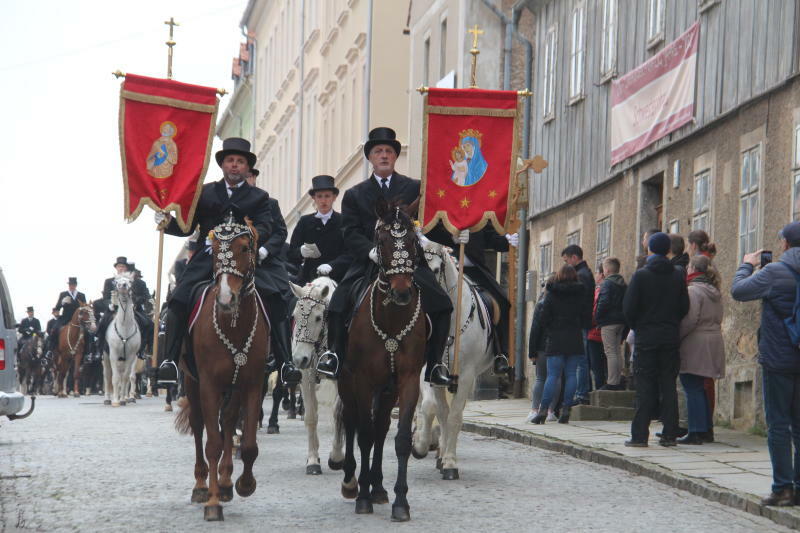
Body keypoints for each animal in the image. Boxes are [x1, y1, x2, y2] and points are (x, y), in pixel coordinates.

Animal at [102, 272, 141, 406]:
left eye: (130, 281)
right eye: (116, 281)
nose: (122, 285)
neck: (124, 327)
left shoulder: (131, 356)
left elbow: (126, 377)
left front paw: (123, 399)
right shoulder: (113, 354)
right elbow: (115, 378)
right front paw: (115, 401)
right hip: (106, 356)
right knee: (107, 376)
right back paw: (108, 398)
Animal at [173, 215, 270, 520]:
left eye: (245, 248)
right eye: (214, 251)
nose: (226, 299)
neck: (233, 326)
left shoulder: (252, 384)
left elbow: (248, 445)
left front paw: (244, 484)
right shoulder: (208, 385)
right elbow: (212, 443)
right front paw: (212, 502)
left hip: (234, 386)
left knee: (227, 421)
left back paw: (226, 481)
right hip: (191, 382)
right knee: (199, 425)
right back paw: (202, 485)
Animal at [290, 274, 346, 474]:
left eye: (318, 317)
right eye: (295, 316)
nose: (300, 359)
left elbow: (338, 412)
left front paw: (336, 456)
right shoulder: (306, 376)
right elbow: (311, 416)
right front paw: (313, 460)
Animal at [334, 198, 428, 520]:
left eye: (412, 241)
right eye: (382, 241)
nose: (401, 292)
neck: (392, 317)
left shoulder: (408, 380)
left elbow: (400, 439)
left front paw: (401, 501)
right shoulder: (362, 380)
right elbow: (363, 434)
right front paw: (362, 496)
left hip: (387, 391)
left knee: (381, 427)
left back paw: (378, 488)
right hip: (346, 382)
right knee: (352, 422)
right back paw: (352, 483)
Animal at [412, 240, 494, 478]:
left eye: (435, 270)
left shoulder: (465, 376)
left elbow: (454, 416)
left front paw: (449, 462)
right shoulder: (429, 371)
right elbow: (434, 408)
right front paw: (420, 446)